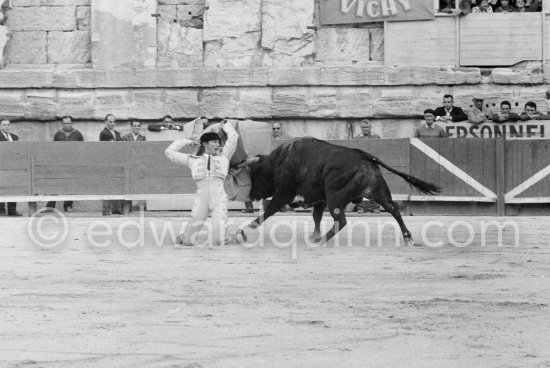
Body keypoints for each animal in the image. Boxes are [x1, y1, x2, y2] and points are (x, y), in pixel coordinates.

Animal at [239, 137, 442, 246]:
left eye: (253, 176)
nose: (250, 195)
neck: (277, 162)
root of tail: (365, 156)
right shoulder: (319, 198)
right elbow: (316, 216)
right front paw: (314, 235)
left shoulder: (285, 192)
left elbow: (270, 210)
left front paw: (245, 230)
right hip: (378, 192)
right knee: (394, 209)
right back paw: (408, 238)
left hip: (335, 198)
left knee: (341, 220)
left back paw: (322, 242)